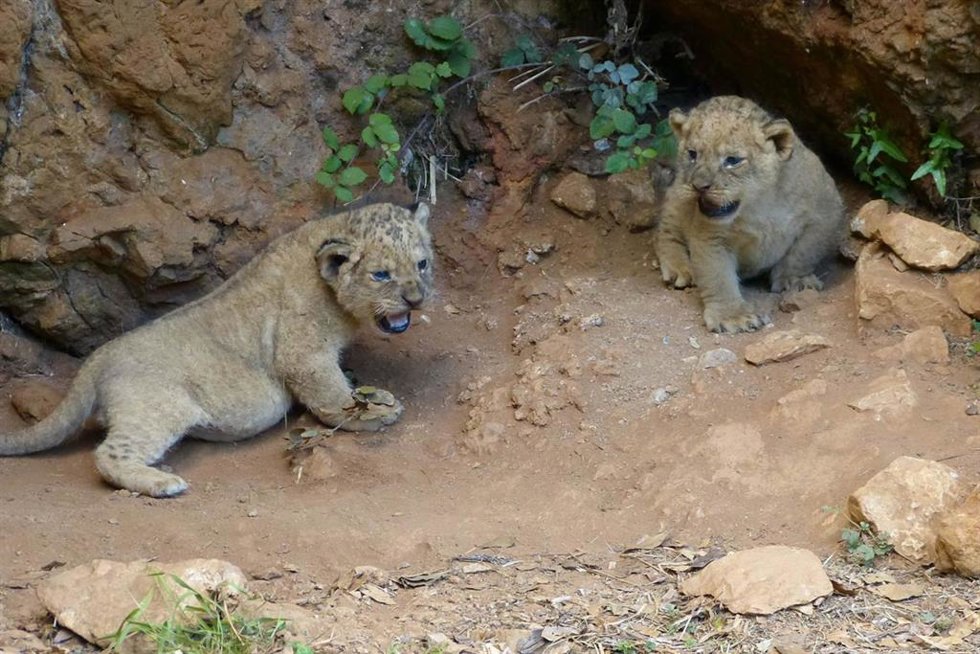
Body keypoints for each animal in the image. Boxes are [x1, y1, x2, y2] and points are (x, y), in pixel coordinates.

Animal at [0, 202, 434, 497]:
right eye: (381, 275)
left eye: (423, 264)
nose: (416, 299)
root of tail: (96, 358)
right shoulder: (303, 353)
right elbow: (331, 397)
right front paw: (370, 415)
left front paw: (372, 396)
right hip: (159, 407)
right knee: (108, 453)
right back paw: (162, 483)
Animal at [655, 96, 845, 333]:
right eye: (692, 154)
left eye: (732, 160)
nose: (699, 186)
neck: (758, 205)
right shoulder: (710, 236)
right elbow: (718, 276)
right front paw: (732, 316)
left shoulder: (826, 210)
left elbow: (804, 252)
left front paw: (795, 281)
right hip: (678, 196)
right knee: (665, 232)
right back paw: (680, 269)